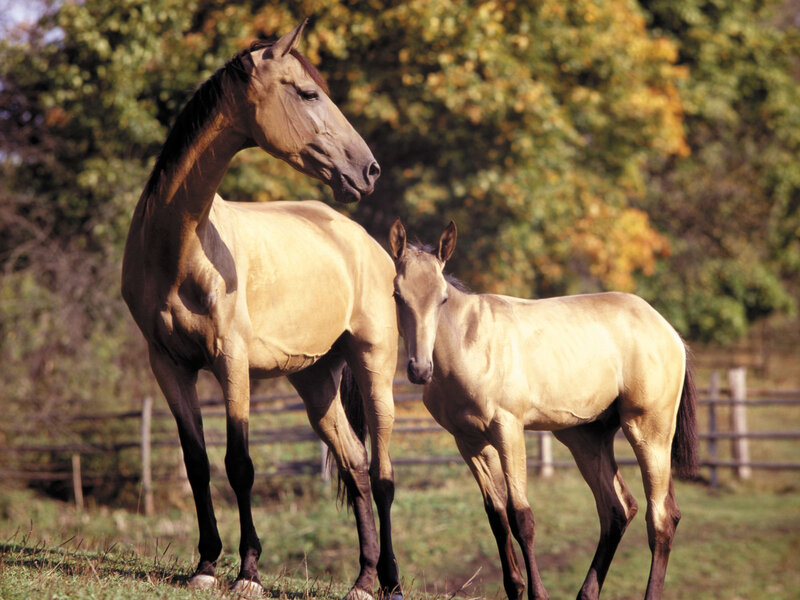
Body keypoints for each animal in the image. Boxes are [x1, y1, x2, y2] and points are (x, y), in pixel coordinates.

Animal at [121, 21, 401, 600]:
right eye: (308, 93)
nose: (369, 169)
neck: (179, 247)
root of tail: (364, 242)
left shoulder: (231, 363)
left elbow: (240, 464)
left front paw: (248, 571)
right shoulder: (168, 366)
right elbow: (198, 462)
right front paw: (206, 564)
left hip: (375, 369)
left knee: (383, 473)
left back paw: (390, 580)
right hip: (315, 381)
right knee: (356, 466)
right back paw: (363, 579)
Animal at [388, 219, 698, 600]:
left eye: (442, 298)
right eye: (397, 295)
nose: (419, 369)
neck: (470, 343)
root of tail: (670, 332)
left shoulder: (508, 430)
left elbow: (521, 516)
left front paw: (536, 593)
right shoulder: (469, 442)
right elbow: (497, 515)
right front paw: (515, 588)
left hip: (649, 431)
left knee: (661, 517)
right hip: (585, 437)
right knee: (617, 510)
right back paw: (586, 593)